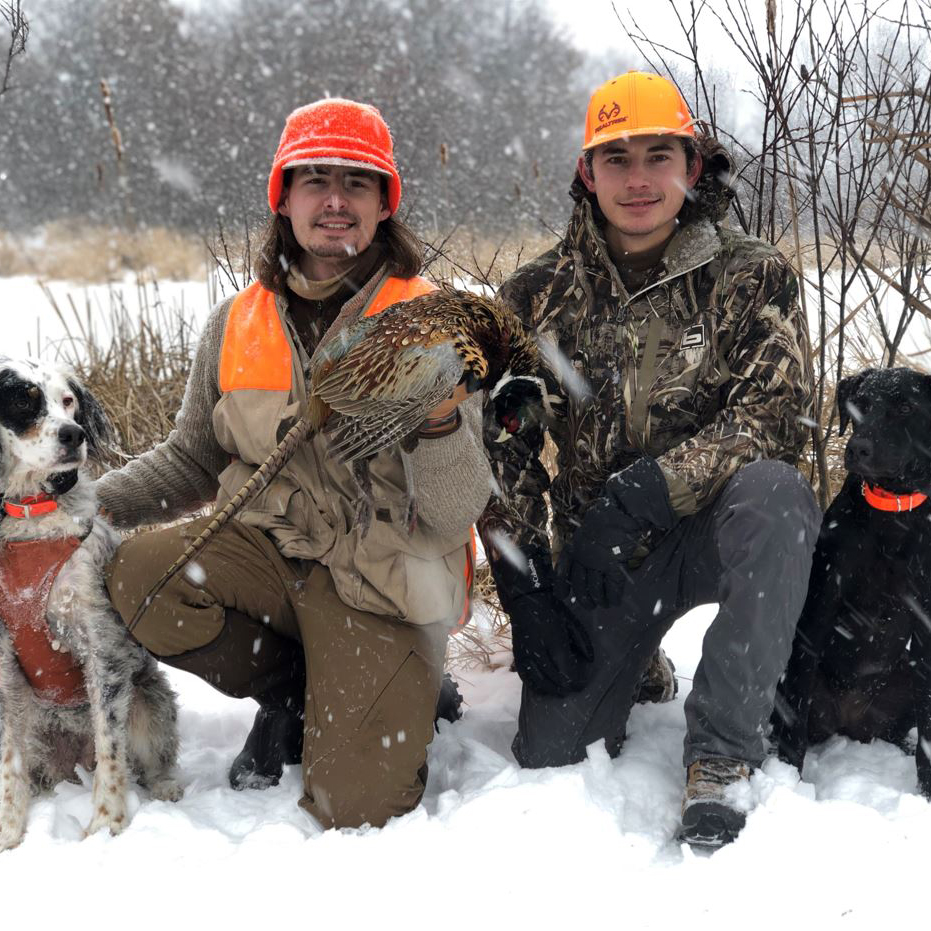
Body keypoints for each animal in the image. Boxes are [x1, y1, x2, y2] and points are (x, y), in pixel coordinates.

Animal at [0, 358, 181, 852]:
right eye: (23, 399)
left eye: (68, 401)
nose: (73, 434)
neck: (31, 517)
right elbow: (8, 763)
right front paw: (9, 834)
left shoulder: (102, 645)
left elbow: (110, 749)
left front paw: (107, 825)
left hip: (149, 703)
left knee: (151, 761)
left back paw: (165, 788)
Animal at [776, 368, 931, 796]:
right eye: (859, 404)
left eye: (906, 407)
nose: (858, 448)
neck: (892, 514)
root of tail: (851, 722)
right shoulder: (819, 608)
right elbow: (795, 717)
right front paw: (788, 777)